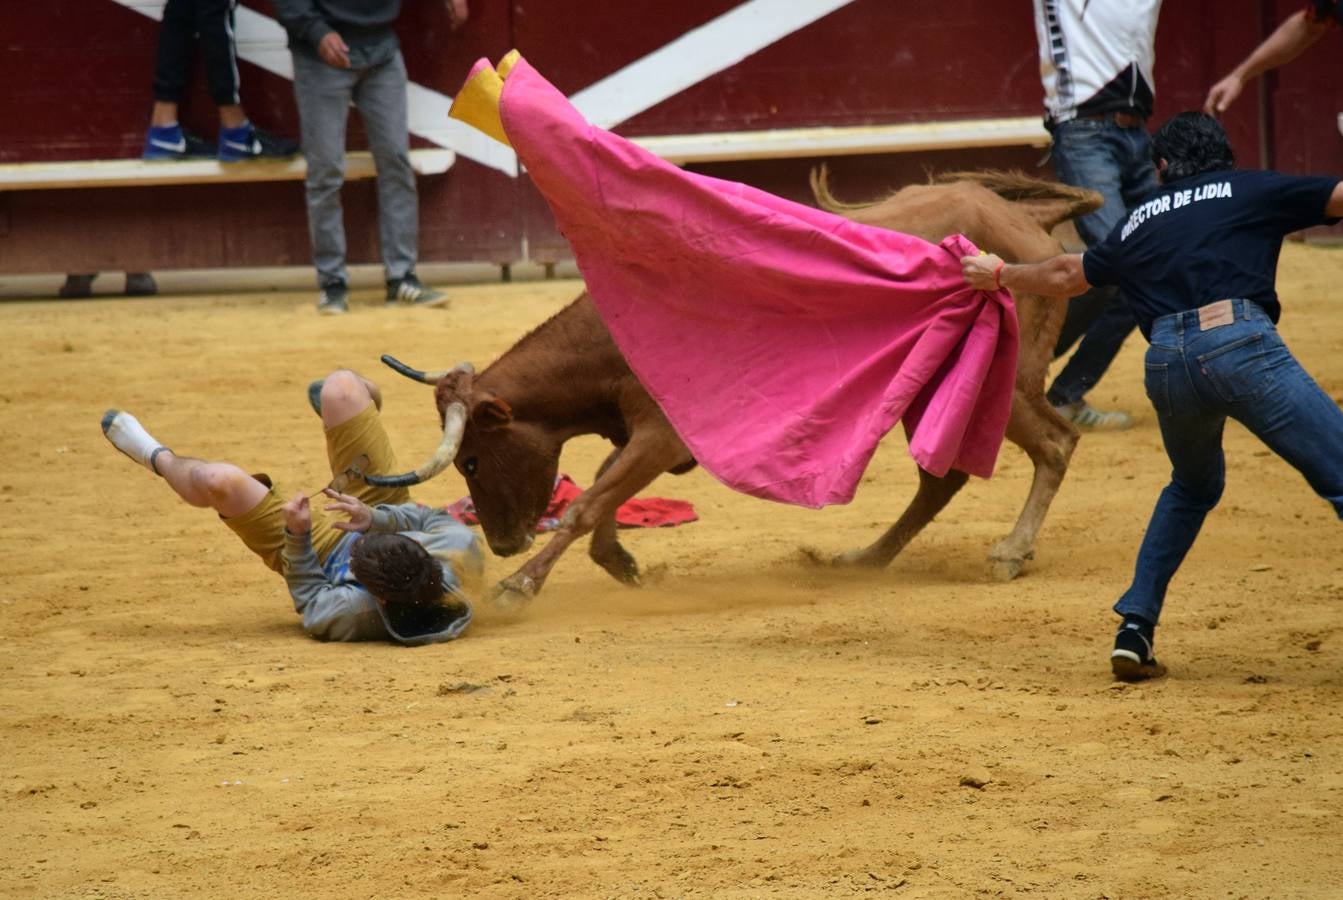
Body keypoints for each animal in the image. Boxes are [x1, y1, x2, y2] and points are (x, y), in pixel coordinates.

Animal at [370, 171, 1101, 607]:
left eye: (470, 460)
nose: (501, 545)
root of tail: (1020, 219)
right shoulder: (640, 433)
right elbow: (604, 488)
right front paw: (621, 562)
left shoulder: (662, 436)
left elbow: (589, 500)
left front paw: (521, 584)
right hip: (932, 396)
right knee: (941, 480)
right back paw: (863, 557)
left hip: (1005, 386)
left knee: (1056, 443)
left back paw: (1008, 553)